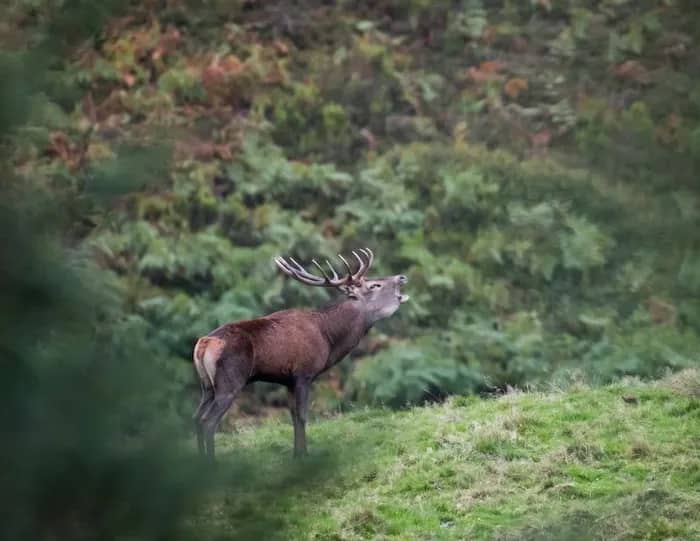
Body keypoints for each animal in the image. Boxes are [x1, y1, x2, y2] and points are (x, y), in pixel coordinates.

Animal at [192, 248, 409, 460]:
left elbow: (294, 416)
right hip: (230, 381)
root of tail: (204, 343)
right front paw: (305, 455)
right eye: (375, 285)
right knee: (208, 420)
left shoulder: (287, 380)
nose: (401, 277)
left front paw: (297, 454)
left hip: (207, 385)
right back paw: (211, 462)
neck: (328, 338)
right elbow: (303, 415)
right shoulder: (305, 372)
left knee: (196, 417)